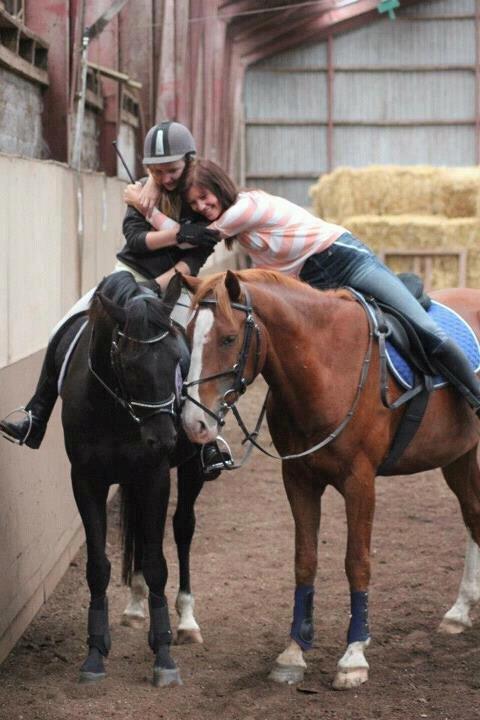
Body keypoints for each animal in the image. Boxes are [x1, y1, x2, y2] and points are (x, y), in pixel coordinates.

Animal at [180, 270, 480, 692]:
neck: (326, 369)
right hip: (459, 458)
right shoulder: (299, 479)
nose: (195, 423)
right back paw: (459, 611)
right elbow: (304, 561)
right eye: (189, 334)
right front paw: (294, 652)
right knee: (473, 518)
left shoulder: (360, 482)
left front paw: (354, 657)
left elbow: (357, 562)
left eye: (227, 338)